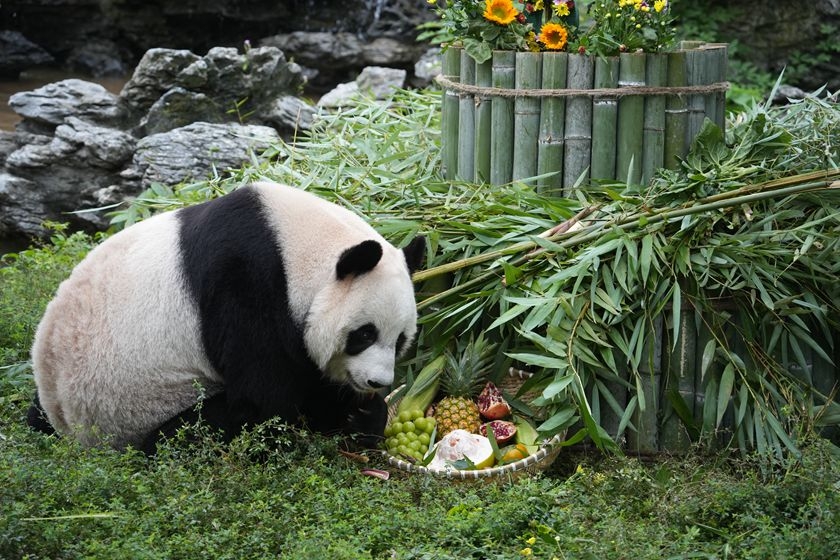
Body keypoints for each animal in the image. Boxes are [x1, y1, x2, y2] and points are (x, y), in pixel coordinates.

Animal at [26, 181, 425, 453]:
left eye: (401, 339)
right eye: (364, 334)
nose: (377, 381)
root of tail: (70, 428)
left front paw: (364, 413)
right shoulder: (245, 283)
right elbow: (266, 399)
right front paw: (351, 416)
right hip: (141, 404)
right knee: (198, 431)